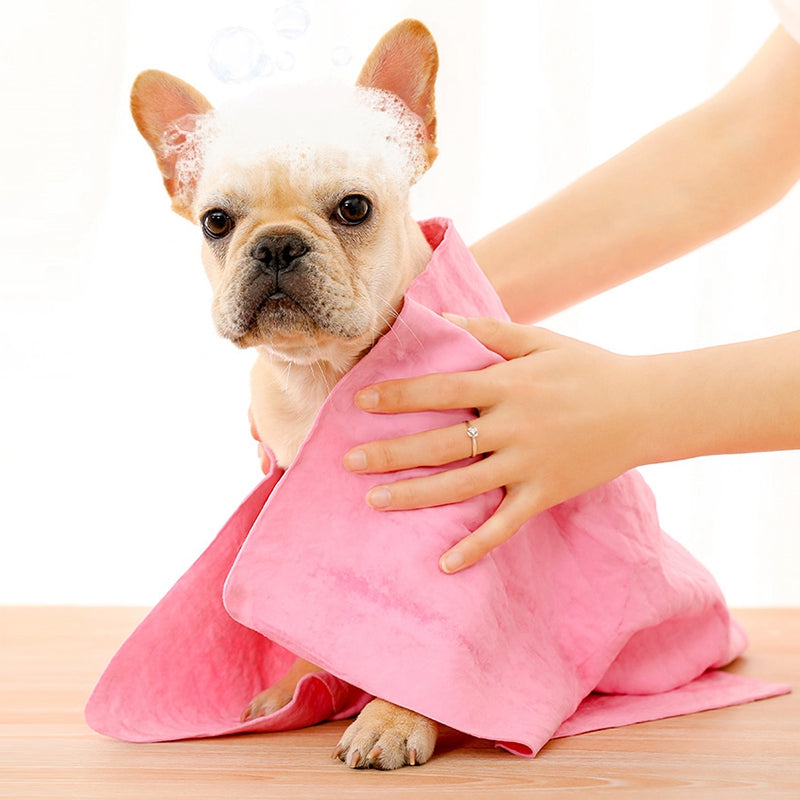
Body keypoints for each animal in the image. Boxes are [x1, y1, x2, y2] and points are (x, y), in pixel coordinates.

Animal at [132, 18, 444, 768]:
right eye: (216, 221)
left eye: (354, 208)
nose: (275, 244)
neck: (319, 373)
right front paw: (299, 686)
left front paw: (393, 718)